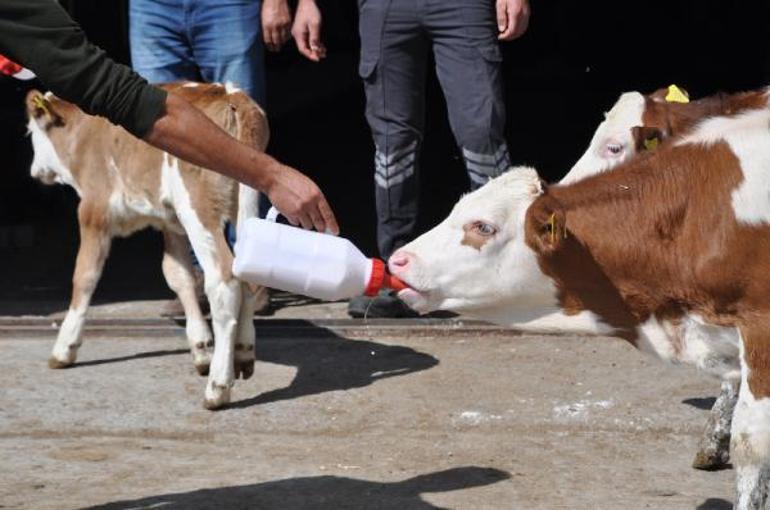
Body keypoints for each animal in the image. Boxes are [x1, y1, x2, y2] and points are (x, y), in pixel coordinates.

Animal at [26, 83, 268, 410]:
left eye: (32, 132)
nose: (34, 171)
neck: (84, 131)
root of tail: (229, 93)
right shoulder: (170, 222)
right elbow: (178, 275)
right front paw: (201, 348)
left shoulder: (93, 210)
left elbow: (85, 276)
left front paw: (65, 347)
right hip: (242, 204)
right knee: (247, 274)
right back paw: (242, 352)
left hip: (199, 209)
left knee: (224, 281)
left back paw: (217, 387)